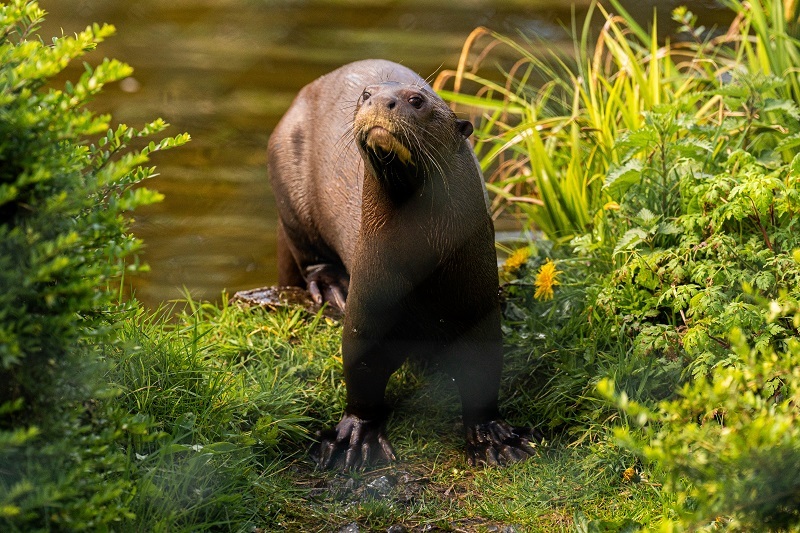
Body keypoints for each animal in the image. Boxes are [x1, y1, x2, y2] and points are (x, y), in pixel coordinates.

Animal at [268, 57, 536, 466]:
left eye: (416, 99)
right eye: (366, 94)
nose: (379, 101)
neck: (418, 265)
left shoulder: (478, 303)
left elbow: (483, 372)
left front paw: (493, 437)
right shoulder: (368, 302)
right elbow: (361, 372)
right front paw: (354, 436)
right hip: (287, 178)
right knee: (308, 254)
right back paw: (331, 287)